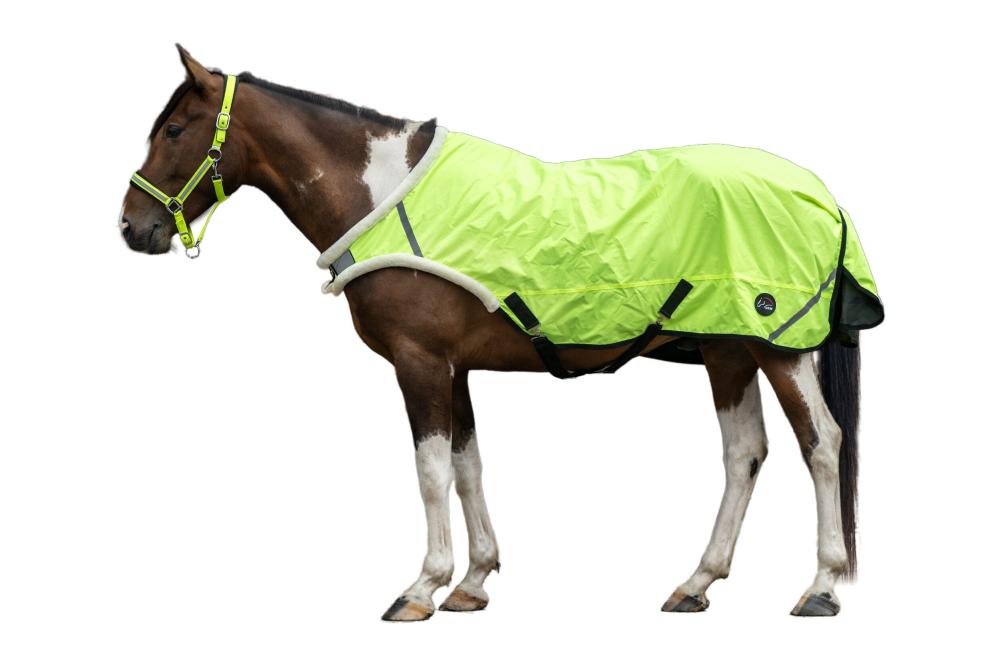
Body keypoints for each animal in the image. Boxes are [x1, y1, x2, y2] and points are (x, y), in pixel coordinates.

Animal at [120, 46, 881, 620]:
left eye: (175, 130)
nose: (133, 227)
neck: (380, 192)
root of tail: (820, 194)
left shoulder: (420, 363)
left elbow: (429, 472)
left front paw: (422, 587)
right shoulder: (453, 366)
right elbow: (467, 466)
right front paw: (473, 581)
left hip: (779, 346)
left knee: (822, 444)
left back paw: (820, 586)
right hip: (728, 352)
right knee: (744, 452)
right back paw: (696, 583)